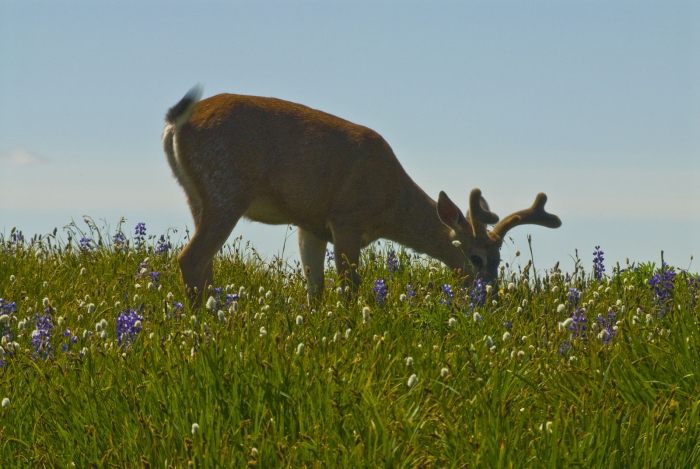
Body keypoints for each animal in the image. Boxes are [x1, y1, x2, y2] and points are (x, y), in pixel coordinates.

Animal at [164, 87, 564, 308]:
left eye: (499, 260)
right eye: (477, 258)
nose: (492, 298)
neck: (388, 204)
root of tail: (173, 124)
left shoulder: (310, 226)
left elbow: (315, 290)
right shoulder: (346, 217)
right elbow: (349, 288)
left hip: (197, 197)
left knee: (205, 264)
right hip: (226, 191)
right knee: (191, 258)